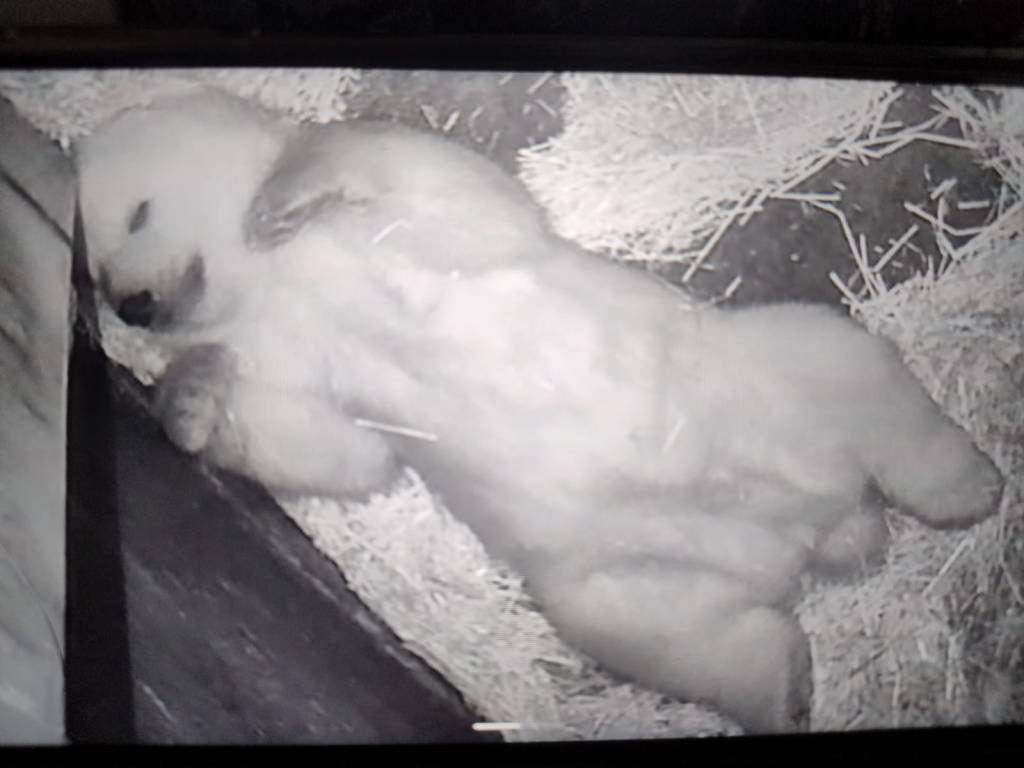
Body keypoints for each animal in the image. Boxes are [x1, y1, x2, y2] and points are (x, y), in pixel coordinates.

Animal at [74, 85, 1004, 735]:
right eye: (94, 268)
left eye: (137, 212)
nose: (135, 305)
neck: (274, 286)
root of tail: (822, 528)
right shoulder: (293, 356)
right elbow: (343, 450)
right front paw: (189, 395)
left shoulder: (409, 239)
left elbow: (447, 196)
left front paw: (286, 190)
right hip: (610, 585)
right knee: (696, 639)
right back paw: (783, 695)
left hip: (771, 364)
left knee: (860, 378)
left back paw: (971, 488)